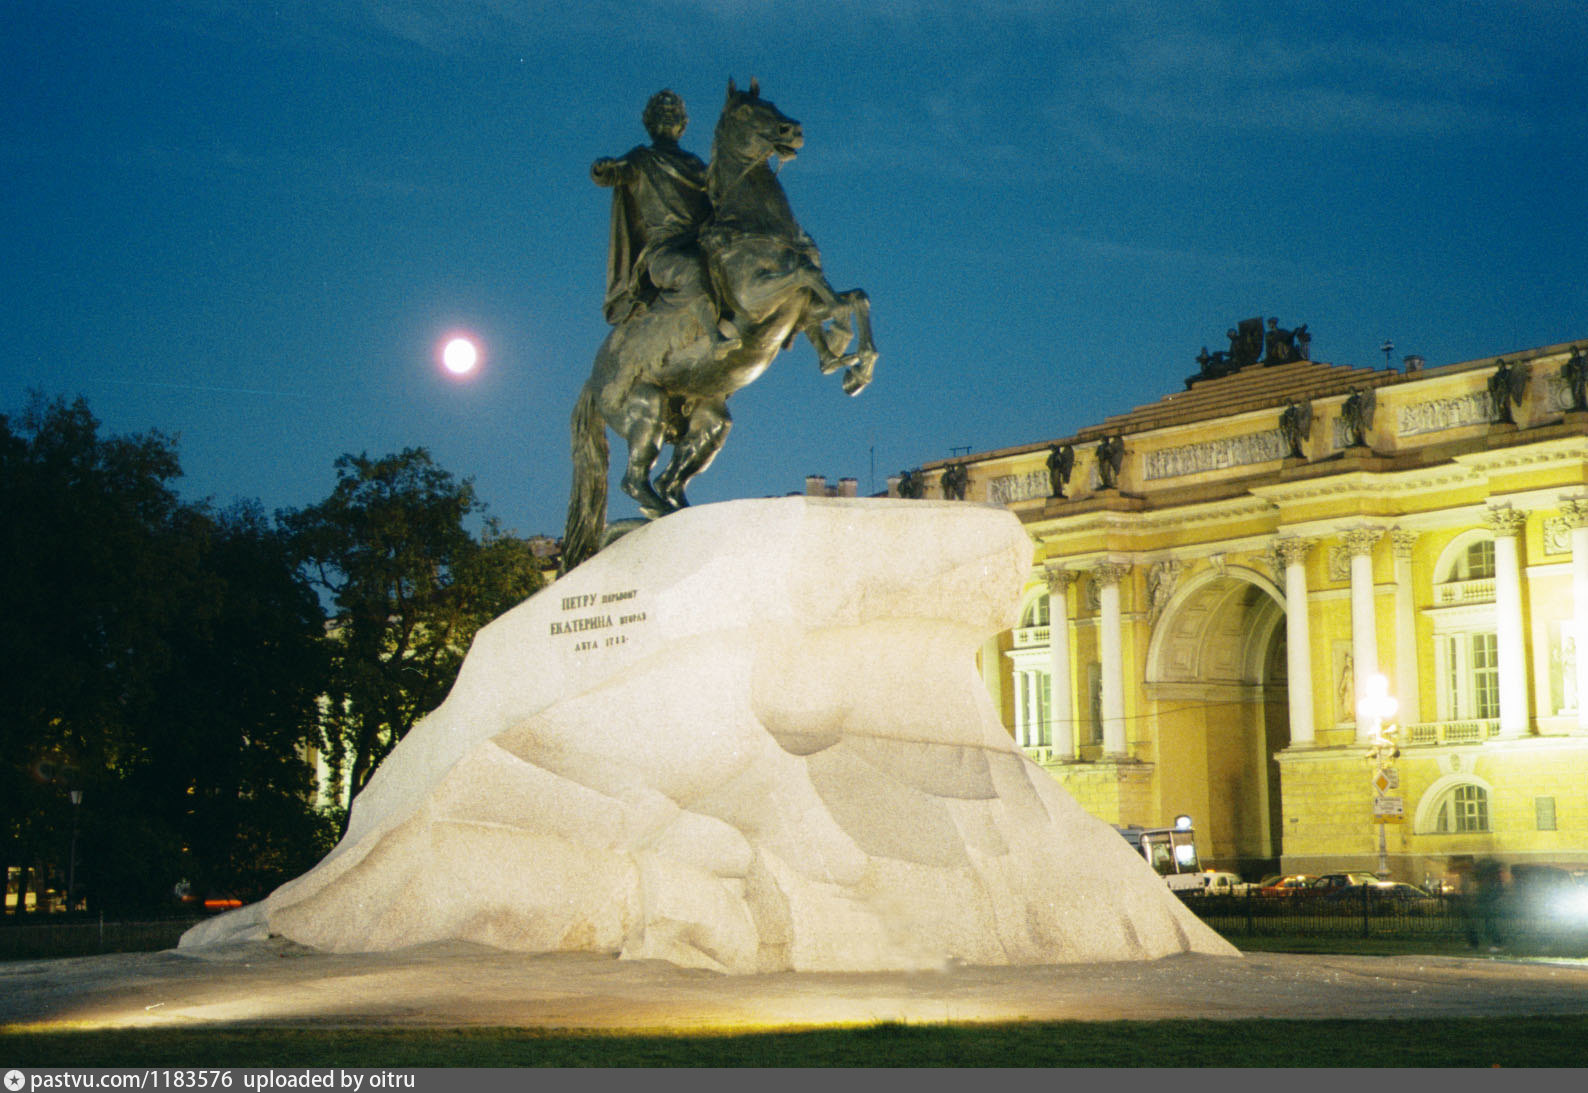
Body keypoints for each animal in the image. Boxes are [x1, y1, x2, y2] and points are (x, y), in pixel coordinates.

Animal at [562, 79, 882, 571]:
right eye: (748, 113)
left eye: (772, 104)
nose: (794, 130)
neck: (756, 223)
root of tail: (592, 382)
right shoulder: (756, 301)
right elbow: (811, 276)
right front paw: (844, 356)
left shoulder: (796, 310)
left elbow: (852, 297)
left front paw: (852, 366)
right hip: (645, 410)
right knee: (635, 481)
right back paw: (652, 517)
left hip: (708, 424)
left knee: (671, 480)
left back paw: (674, 515)